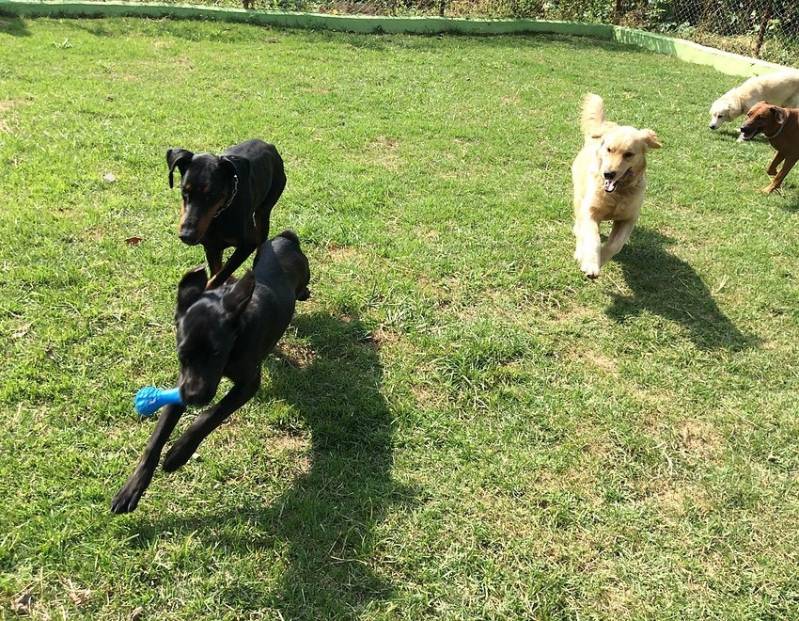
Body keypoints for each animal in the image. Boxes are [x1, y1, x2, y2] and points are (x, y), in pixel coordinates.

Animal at [111, 229, 310, 512]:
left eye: (216, 353)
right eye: (182, 354)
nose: (194, 397)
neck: (237, 335)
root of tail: (286, 239)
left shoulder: (248, 383)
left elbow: (211, 415)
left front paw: (178, 453)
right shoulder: (183, 382)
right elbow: (157, 438)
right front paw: (132, 488)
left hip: (303, 271)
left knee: (304, 283)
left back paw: (304, 291)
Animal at [167, 138, 286, 288]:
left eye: (211, 194)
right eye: (184, 191)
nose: (187, 235)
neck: (220, 214)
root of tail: (268, 145)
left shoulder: (248, 244)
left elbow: (220, 276)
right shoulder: (211, 246)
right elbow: (216, 273)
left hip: (265, 209)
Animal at [576, 94, 664, 278]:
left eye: (628, 154)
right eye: (609, 149)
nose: (608, 174)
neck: (617, 194)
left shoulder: (628, 219)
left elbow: (615, 245)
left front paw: (600, 260)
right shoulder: (590, 212)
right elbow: (592, 239)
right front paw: (590, 264)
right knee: (579, 228)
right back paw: (580, 252)